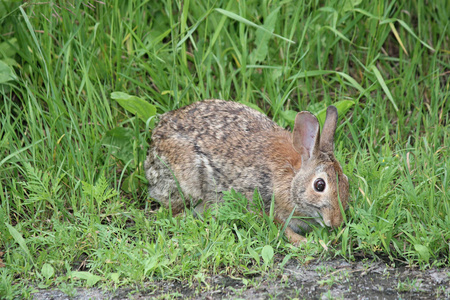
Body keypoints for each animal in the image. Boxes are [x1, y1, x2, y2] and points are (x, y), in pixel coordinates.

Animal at [146, 99, 350, 245]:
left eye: (346, 182)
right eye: (319, 185)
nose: (337, 222)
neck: (291, 178)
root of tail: (153, 149)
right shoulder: (261, 202)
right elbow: (279, 226)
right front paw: (304, 242)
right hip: (188, 182)